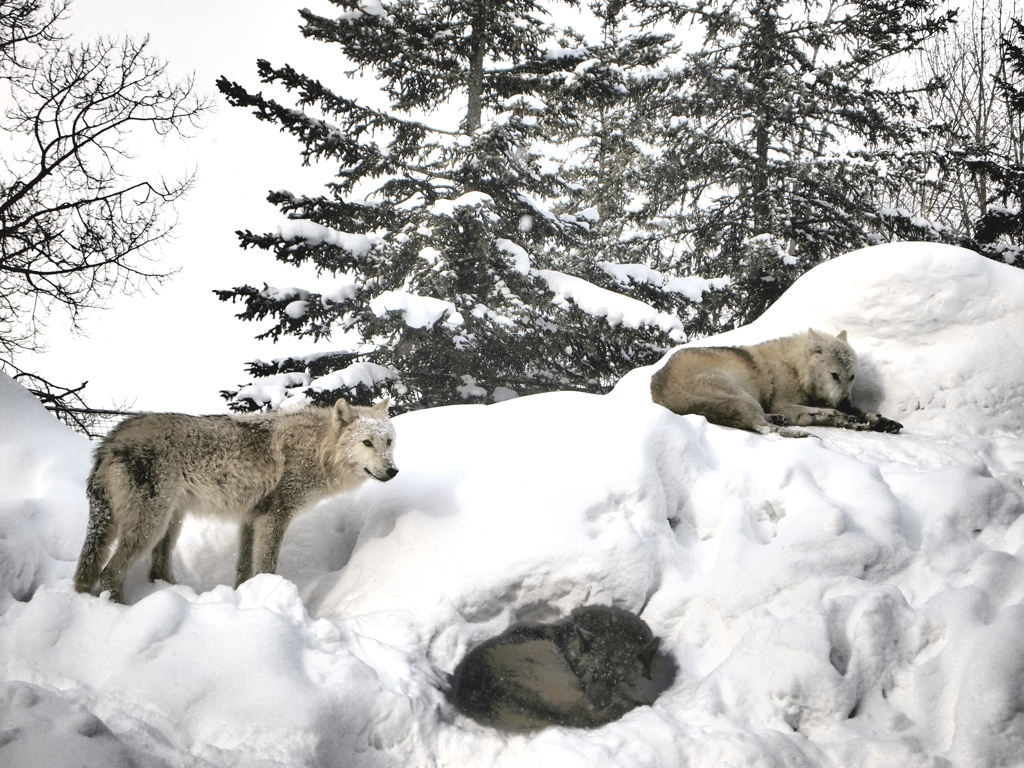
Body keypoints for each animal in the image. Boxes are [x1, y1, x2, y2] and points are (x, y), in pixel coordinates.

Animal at [72, 399, 397, 606]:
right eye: (367, 443)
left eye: (389, 442)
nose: (392, 471)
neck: (317, 451)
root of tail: (109, 441)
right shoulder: (276, 517)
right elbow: (267, 565)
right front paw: (268, 596)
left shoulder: (251, 518)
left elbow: (243, 567)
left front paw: (244, 595)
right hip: (150, 526)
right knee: (109, 572)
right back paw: (120, 609)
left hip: (170, 522)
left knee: (155, 570)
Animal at [651, 329, 901, 438]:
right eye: (834, 375)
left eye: (851, 377)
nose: (845, 404)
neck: (794, 367)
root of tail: (659, 391)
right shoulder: (784, 403)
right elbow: (826, 413)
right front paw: (853, 419)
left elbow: (857, 411)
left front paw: (879, 420)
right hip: (740, 395)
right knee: (763, 427)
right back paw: (800, 433)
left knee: (763, 422)